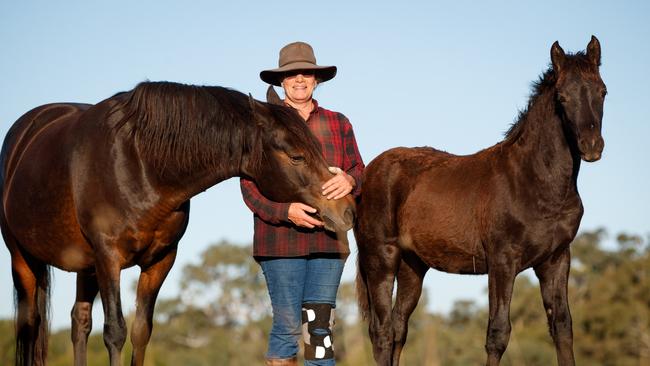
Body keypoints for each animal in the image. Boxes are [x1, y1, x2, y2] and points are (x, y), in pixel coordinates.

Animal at [1, 81, 354, 366]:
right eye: (296, 156)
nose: (347, 209)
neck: (140, 163)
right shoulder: (109, 258)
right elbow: (115, 331)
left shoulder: (160, 260)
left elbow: (141, 331)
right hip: (23, 259)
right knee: (30, 325)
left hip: (85, 267)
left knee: (79, 322)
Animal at [354, 37, 604, 366]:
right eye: (562, 97)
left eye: (602, 91)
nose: (592, 147)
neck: (534, 182)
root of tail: (369, 172)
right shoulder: (502, 261)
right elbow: (498, 332)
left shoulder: (556, 259)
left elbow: (562, 327)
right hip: (381, 258)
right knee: (381, 331)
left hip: (412, 266)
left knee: (398, 327)